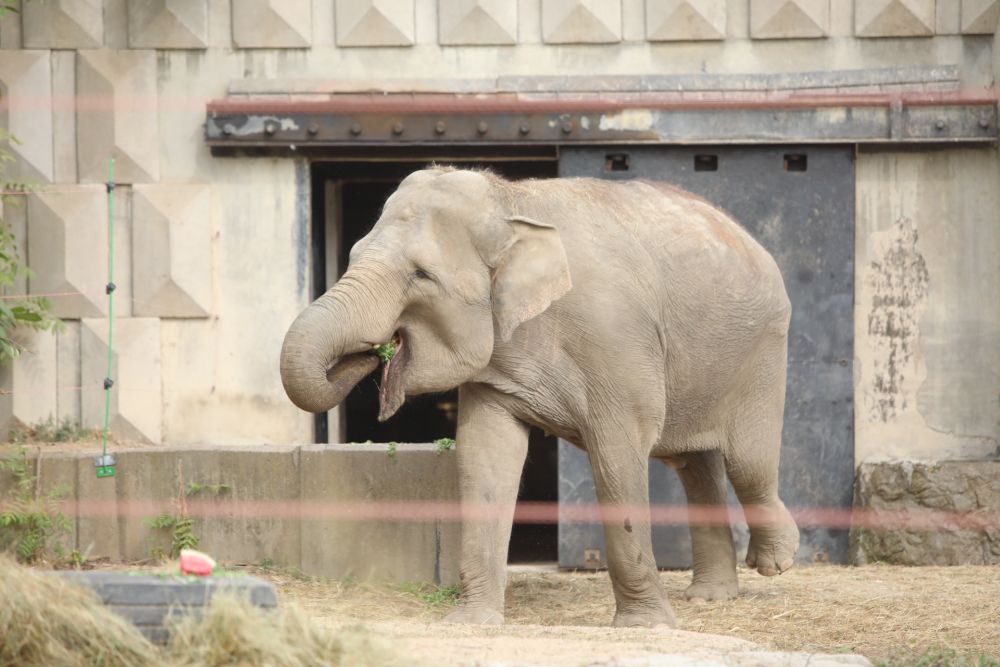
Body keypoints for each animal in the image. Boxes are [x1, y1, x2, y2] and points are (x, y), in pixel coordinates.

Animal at [278, 166, 800, 628]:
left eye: (421, 275)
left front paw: (646, 627)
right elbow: (486, 457)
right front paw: (472, 622)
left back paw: (778, 559)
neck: (512, 204)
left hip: (763, 348)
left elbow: (617, 457)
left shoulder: (617, 340)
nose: (372, 353)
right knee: (695, 462)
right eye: (352, 255)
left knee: (747, 462)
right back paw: (711, 596)